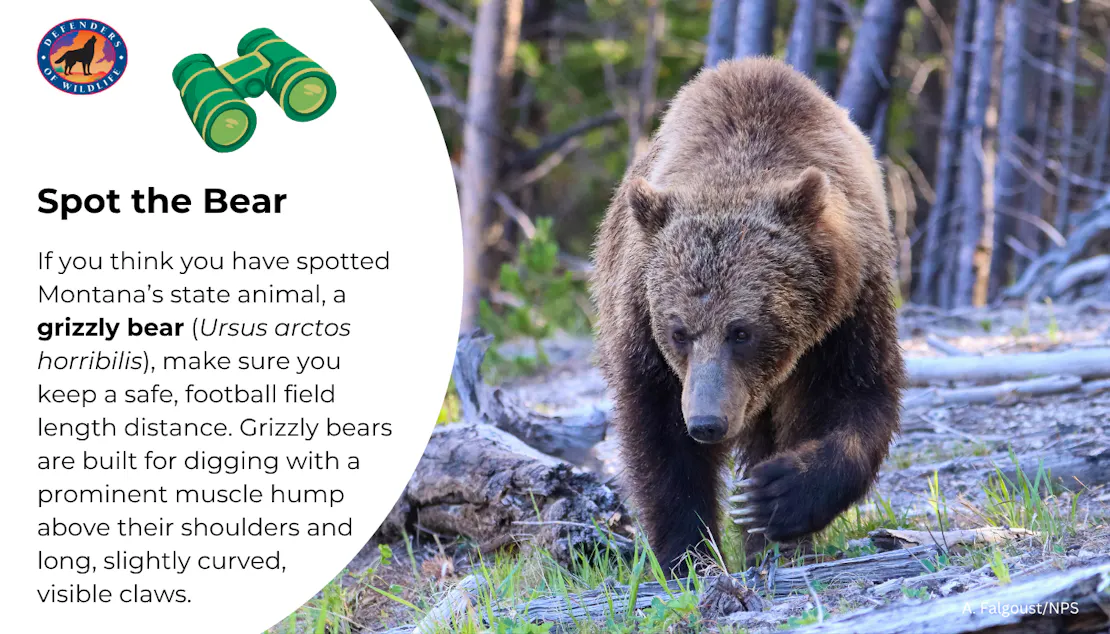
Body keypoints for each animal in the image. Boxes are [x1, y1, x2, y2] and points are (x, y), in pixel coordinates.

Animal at [591, 57, 903, 572]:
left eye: (742, 331)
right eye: (678, 332)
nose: (706, 422)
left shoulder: (849, 311)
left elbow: (855, 398)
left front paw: (774, 496)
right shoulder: (641, 320)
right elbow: (660, 437)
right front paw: (689, 553)